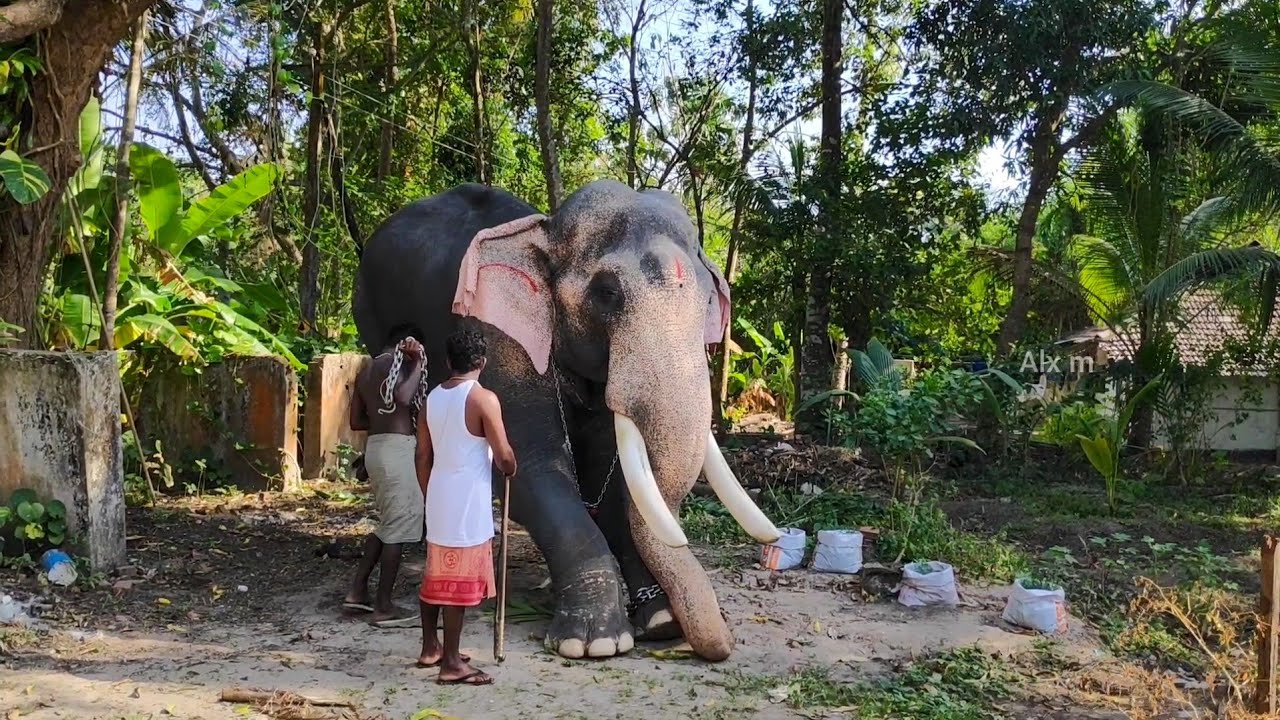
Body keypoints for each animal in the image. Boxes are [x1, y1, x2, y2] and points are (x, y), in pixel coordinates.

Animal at [352, 179, 780, 661]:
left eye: (708, 299)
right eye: (607, 292)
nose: (725, 642)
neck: (546, 232)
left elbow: (610, 481)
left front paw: (660, 622)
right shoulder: (499, 338)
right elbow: (532, 466)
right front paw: (595, 641)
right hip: (367, 308)